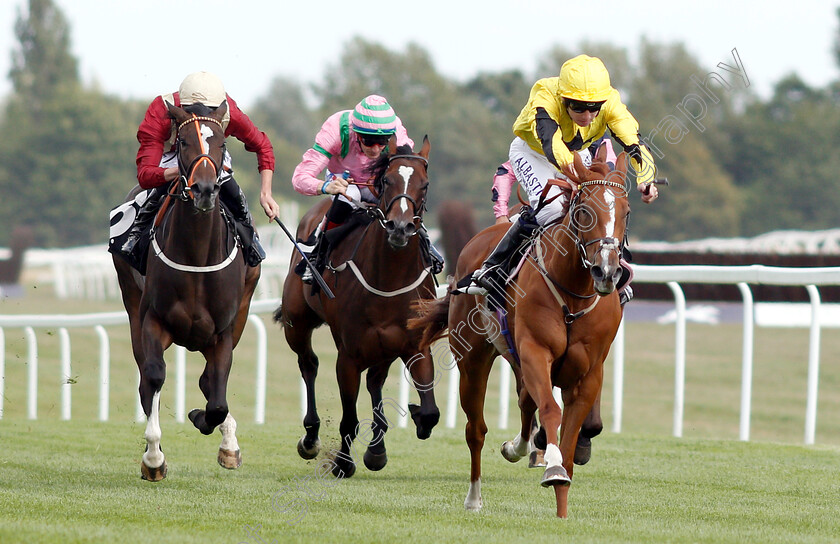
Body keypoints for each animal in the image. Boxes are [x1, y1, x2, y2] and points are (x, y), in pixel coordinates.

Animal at [113, 102, 260, 480]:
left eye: (222, 143)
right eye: (183, 143)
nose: (205, 189)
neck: (196, 252)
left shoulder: (223, 331)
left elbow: (218, 399)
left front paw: (211, 428)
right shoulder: (153, 320)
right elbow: (153, 377)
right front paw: (153, 458)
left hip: (241, 313)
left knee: (211, 383)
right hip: (131, 302)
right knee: (147, 379)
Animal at [278, 138, 442, 478]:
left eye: (425, 184)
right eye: (386, 180)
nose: (400, 227)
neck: (389, 280)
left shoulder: (414, 346)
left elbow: (431, 412)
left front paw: (412, 420)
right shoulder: (349, 356)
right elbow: (349, 419)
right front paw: (343, 462)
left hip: (383, 349)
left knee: (375, 381)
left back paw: (377, 449)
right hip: (296, 324)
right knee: (309, 364)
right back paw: (310, 437)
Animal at [406, 152, 632, 516]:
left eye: (626, 212)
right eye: (584, 211)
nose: (607, 271)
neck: (573, 293)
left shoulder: (588, 372)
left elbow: (570, 439)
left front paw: (561, 502)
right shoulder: (535, 351)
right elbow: (551, 411)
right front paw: (552, 468)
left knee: (525, 401)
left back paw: (519, 447)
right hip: (473, 359)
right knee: (476, 430)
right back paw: (474, 497)